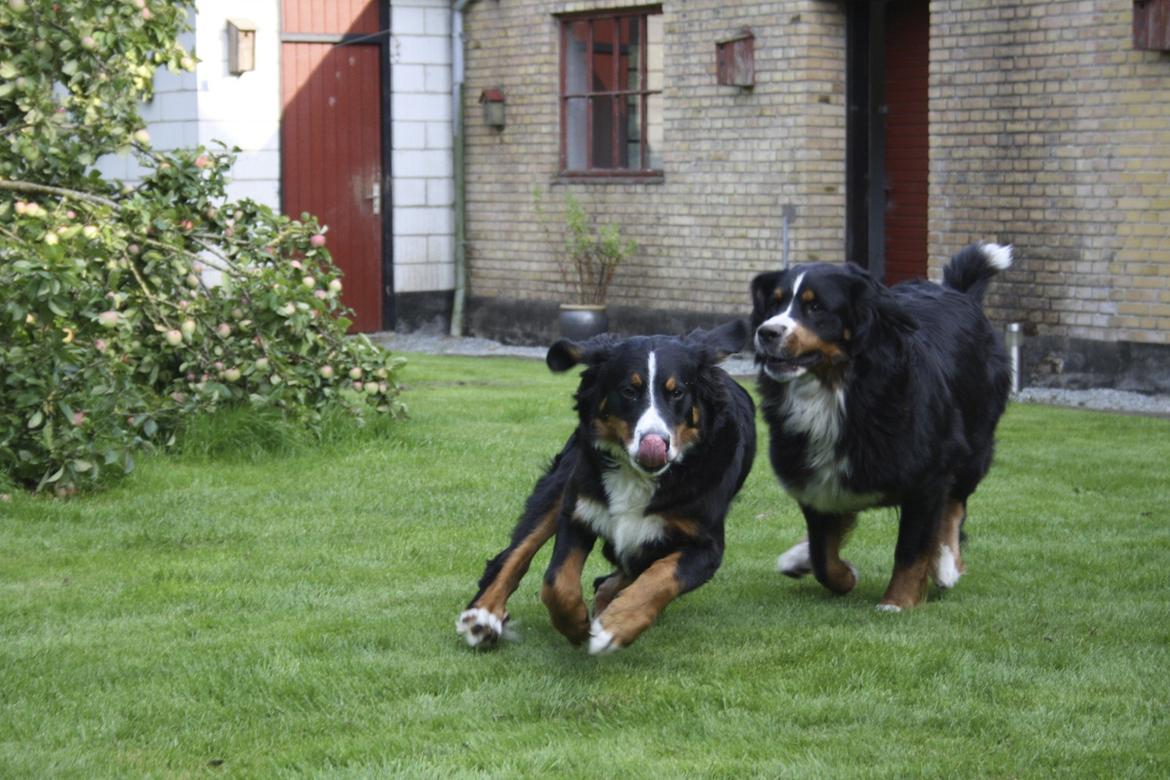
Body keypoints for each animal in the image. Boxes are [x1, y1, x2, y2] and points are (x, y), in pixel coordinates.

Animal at [456, 320, 758, 654]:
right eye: (629, 391)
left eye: (677, 392)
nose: (655, 442)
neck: (638, 478)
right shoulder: (579, 510)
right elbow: (556, 582)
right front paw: (575, 624)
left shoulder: (706, 546)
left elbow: (660, 577)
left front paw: (614, 626)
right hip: (562, 480)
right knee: (514, 554)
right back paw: (483, 616)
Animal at [748, 244, 1015, 608]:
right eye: (775, 303)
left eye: (815, 306)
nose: (767, 332)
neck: (837, 390)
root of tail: (957, 292)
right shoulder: (815, 482)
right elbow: (823, 556)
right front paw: (844, 576)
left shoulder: (928, 476)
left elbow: (912, 548)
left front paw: (897, 602)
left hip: (974, 441)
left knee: (955, 505)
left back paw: (946, 564)